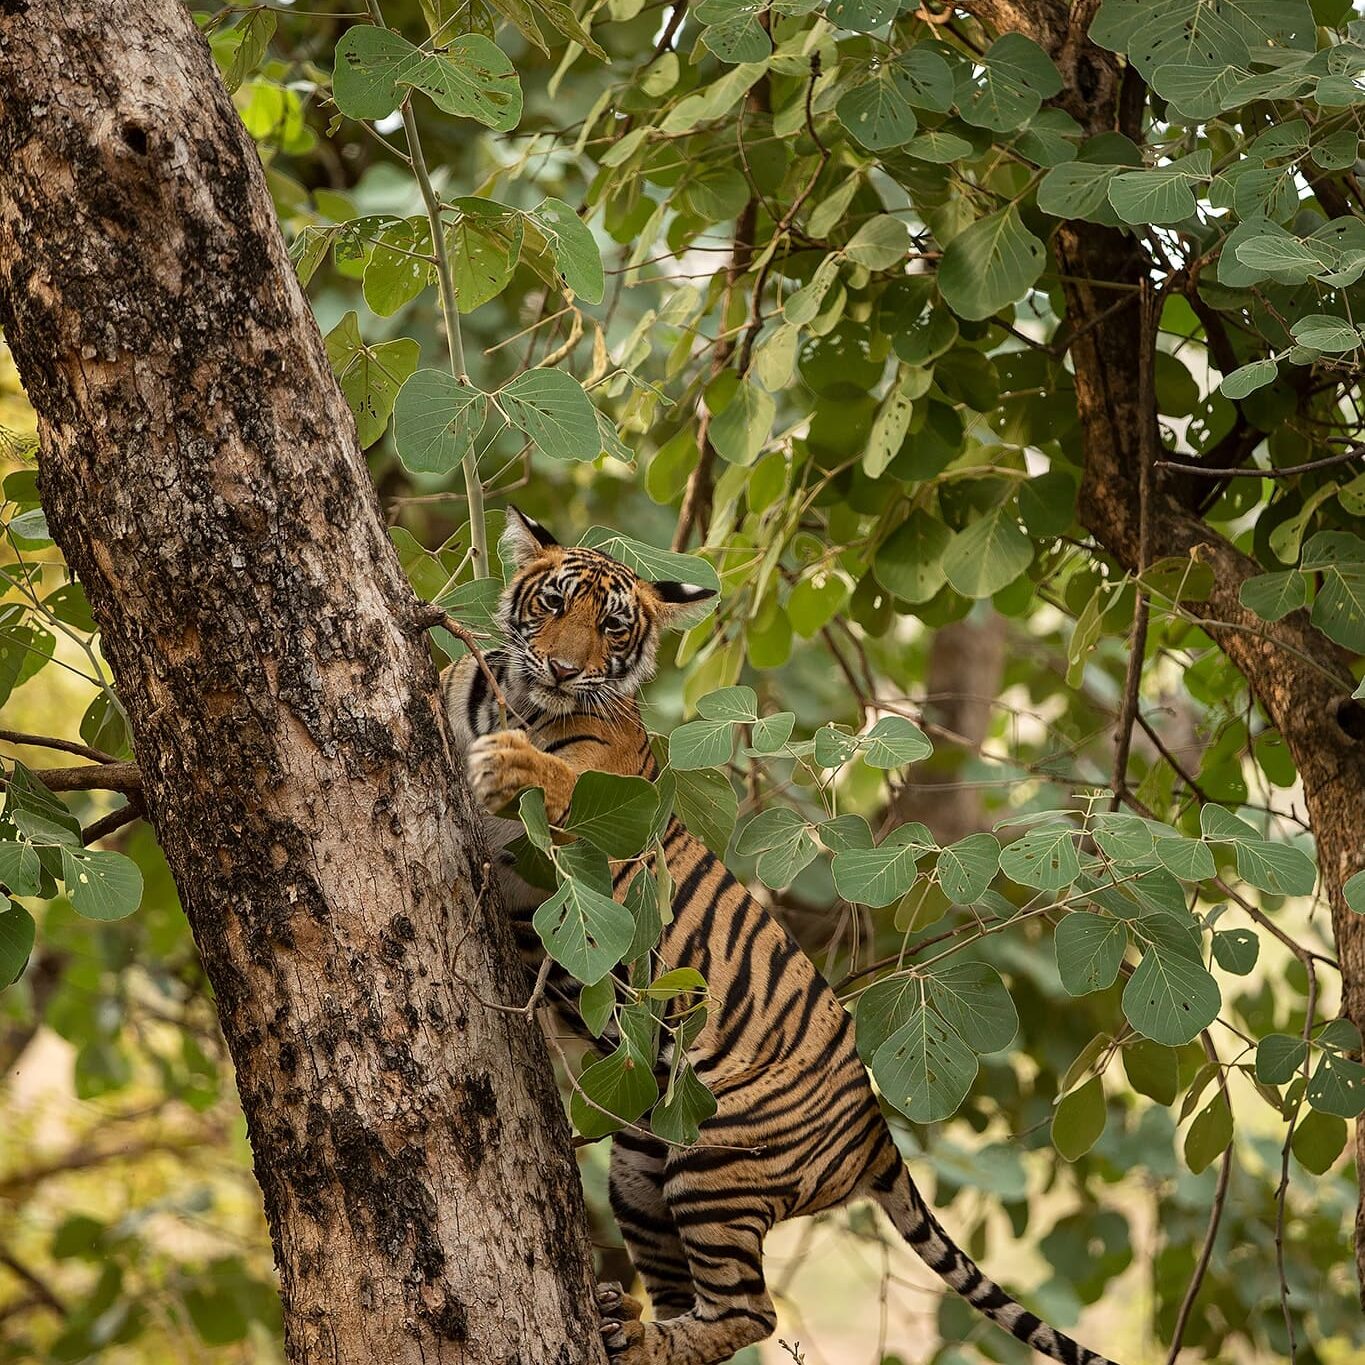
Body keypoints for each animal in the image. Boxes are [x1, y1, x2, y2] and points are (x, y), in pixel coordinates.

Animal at [442, 505, 1113, 1365]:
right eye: (553, 605)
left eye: (612, 626)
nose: (561, 669)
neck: (518, 701)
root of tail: (876, 1129)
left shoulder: (619, 847)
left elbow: (563, 783)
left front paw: (511, 763)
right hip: (641, 1163)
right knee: (685, 1296)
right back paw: (623, 1321)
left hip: (718, 1160)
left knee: (747, 1311)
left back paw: (634, 1332)